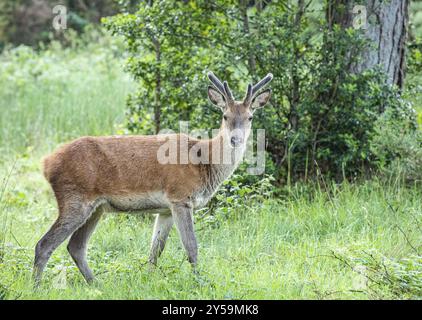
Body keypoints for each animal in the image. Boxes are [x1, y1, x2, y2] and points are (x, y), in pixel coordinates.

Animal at [32, 72, 270, 284]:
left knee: (76, 246)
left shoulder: (165, 209)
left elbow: (155, 250)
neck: (204, 162)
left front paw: (149, 279)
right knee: (44, 244)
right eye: (225, 116)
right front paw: (200, 282)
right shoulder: (180, 197)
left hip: (96, 208)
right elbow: (191, 246)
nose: (236, 139)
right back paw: (36, 286)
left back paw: (96, 284)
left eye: (250, 117)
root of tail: (47, 163)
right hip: (75, 198)